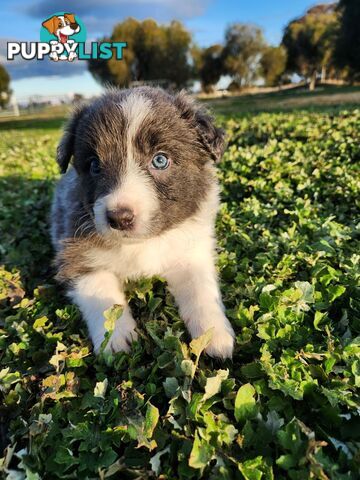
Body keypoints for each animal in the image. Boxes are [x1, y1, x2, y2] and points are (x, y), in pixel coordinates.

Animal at [51, 88, 236, 360]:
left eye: (160, 160)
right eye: (94, 164)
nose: (119, 218)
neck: (142, 243)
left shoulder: (192, 251)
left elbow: (201, 292)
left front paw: (214, 335)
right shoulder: (76, 253)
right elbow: (100, 294)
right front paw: (116, 337)